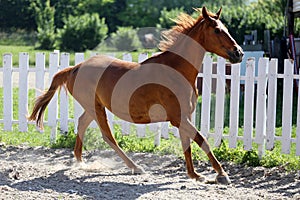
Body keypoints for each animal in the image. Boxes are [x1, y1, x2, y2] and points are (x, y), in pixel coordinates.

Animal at [28, 6, 244, 184]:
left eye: (225, 28)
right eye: (217, 30)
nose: (239, 53)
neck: (176, 70)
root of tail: (75, 68)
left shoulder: (185, 116)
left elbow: (187, 143)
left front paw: (194, 175)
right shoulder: (178, 117)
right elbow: (201, 140)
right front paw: (221, 175)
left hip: (94, 106)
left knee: (82, 124)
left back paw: (80, 162)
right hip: (95, 108)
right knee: (108, 136)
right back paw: (135, 167)